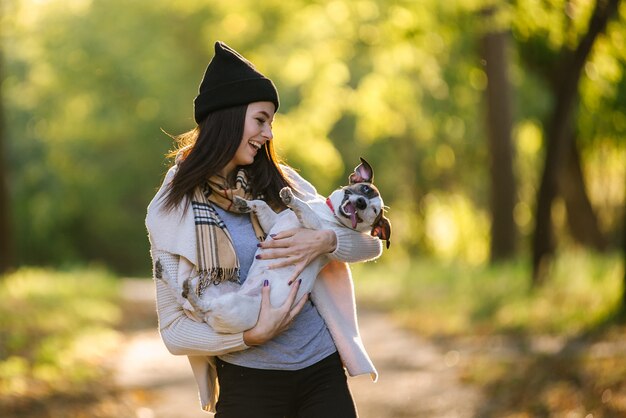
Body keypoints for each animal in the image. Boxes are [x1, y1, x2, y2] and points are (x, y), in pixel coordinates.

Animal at [169, 158, 390, 334]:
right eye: (365, 189)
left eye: (373, 210)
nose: (361, 203)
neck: (329, 214)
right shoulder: (273, 222)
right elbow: (261, 205)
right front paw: (245, 204)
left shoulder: (317, 229)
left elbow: (304, 208)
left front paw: (291, 198)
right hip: (220, 288)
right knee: (189, 299)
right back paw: (177, 279)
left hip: (234, 305)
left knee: (201, 306)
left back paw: (189, 292)